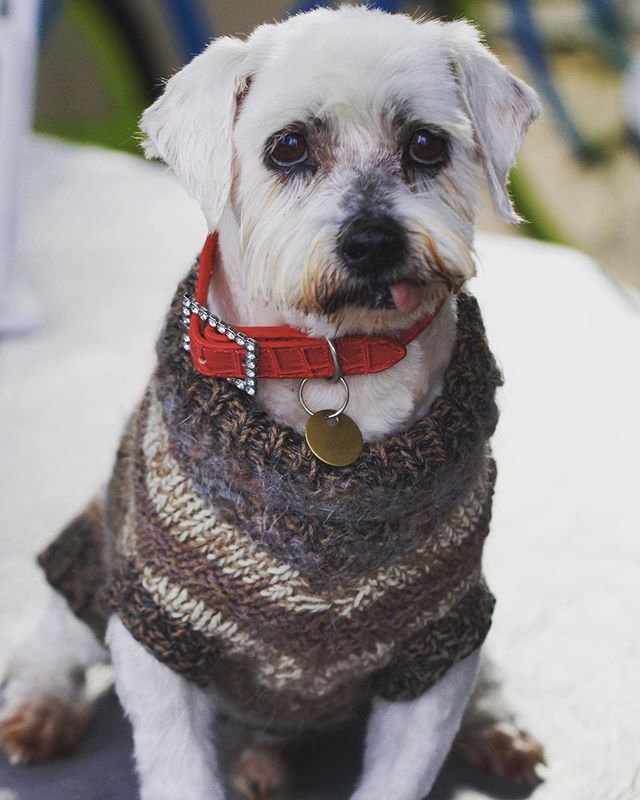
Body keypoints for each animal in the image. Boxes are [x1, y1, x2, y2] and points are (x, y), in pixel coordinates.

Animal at [0, 7, 544, 800]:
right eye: (287, 147)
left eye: (426, 144)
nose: (373, 240)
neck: (341, 363)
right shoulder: (162, 628)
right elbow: (178, 770)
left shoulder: (437, 642)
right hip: (96, 552)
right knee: (51, 641)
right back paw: (42, 708)